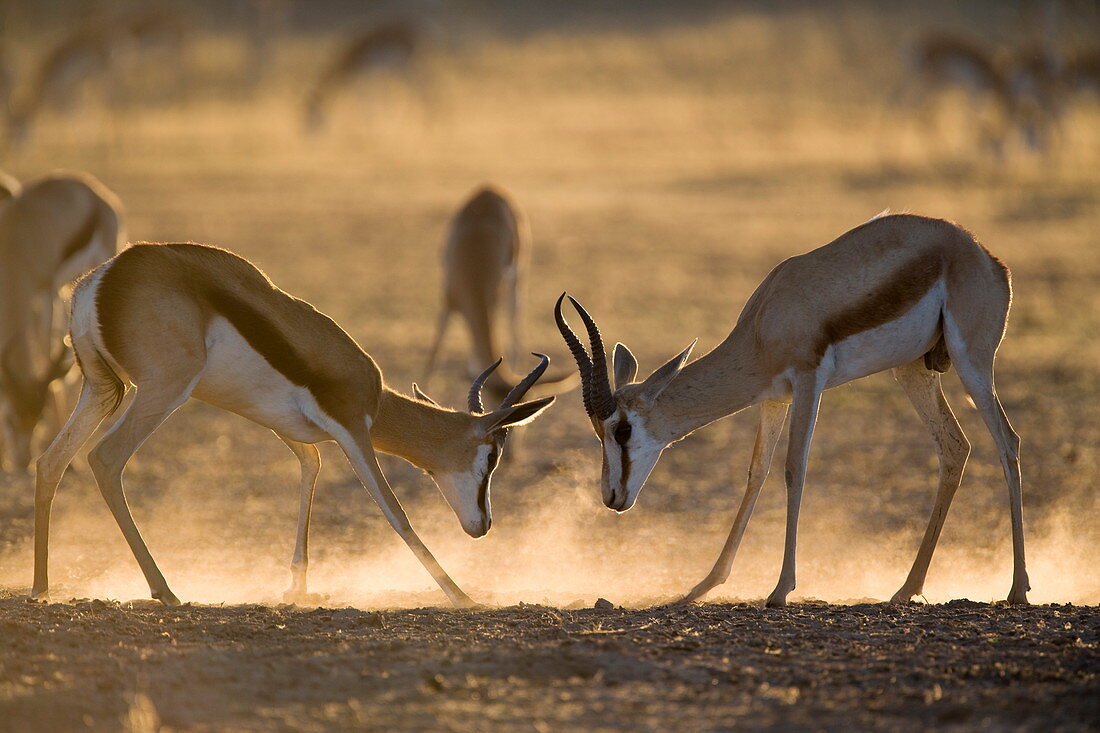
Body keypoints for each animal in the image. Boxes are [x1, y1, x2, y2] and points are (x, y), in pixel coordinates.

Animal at [0, 172, 121, 468]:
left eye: (39, 416)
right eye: (10, 418)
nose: (22, 462)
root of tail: (92, 189)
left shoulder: (45, 291)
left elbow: (45, 354)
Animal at [34, 241, 558, 603]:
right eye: (491, 457)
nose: (483, 525)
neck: (372, 393)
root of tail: (101, 280)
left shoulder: (292, 433)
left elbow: (311, 470)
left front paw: (298, 588)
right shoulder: (352, 429)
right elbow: (396, 514)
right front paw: (463, 597)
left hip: (102, 389)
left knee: (51, 463)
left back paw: (41, 587)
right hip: (162, 391)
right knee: (105, 459)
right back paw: (166, 592)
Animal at [420, 186, 580, 405]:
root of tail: (489, 189)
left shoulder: (491, 301)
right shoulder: (448, 300)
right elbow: (434, 354)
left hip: (516, 283)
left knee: (514, 334)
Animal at [558, 214, 1029, 607]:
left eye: (621, 430)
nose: (611, 497)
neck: (766, 320)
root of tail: (984, 254)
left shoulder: (808, 381)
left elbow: (793, 468)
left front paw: (780, 590)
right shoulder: (774, 397)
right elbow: (757, 473)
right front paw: (701, 587)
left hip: (971, 362)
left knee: (1007, 441)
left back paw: (1017, 589)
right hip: (912, 369)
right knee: (955, 448)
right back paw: (905, 590)